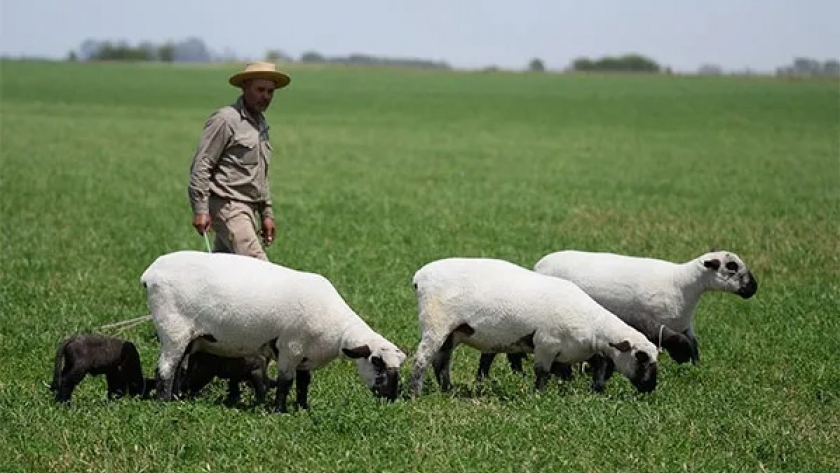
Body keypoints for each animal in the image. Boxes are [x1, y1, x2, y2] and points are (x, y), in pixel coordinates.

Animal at [140, 249, 406, 412]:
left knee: (179, 367)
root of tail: (150, 273)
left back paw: (177, 398)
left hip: (188, 337)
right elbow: (285, 382)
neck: (338, 330)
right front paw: (280, 410)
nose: (390, 399)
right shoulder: (291, 347)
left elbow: (303, 383)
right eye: (377, 363)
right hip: (172, 328)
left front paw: (302, 407)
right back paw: (164, 403)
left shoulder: (305, 355)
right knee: (165, 369)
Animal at [408, 256, 664, 396]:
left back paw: (447, 389)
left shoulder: (574, 351)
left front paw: (590, 392)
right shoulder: (546, 343)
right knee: (421, 359)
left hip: (453, 332)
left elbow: (583, 371)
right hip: (436, 322)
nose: (650, 387)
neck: (594, 327)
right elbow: (542, 373)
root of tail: (420, 276)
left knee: (441, 362)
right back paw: (414, 393)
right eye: (641, 358)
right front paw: (539, 395)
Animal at [536, 249, 756, 364]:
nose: (753, 288)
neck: (683, 283)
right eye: (732, 267)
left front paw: (695, 367)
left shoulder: (685, 326)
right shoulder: (657, 325)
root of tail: (539, 263)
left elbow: (693, 345)